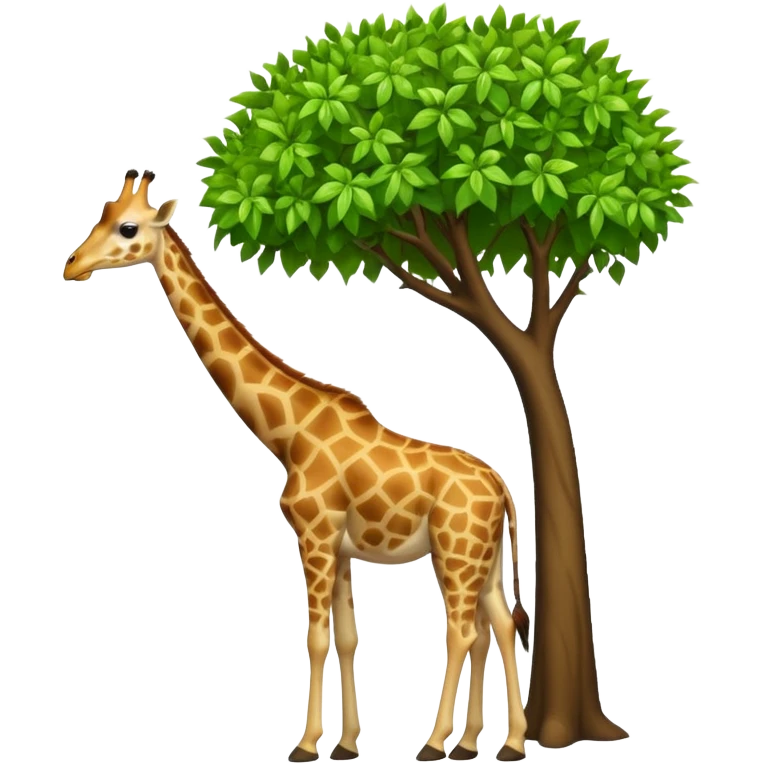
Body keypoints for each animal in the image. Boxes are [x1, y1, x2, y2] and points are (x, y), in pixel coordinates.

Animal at [63, 169, 531, 762]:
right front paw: (348, 743)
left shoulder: (314, 532)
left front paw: (307, 744)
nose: (72, 267)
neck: (289, 435)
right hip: (484, 559)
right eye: (101, 215)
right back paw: (496, 742)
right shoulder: (341, 545)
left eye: (127, 227)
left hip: (456, 549)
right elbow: (348, 637)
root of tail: (501, 482)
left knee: (464, 631)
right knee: (499, 625)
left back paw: (436, 741)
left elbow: (316, 637)